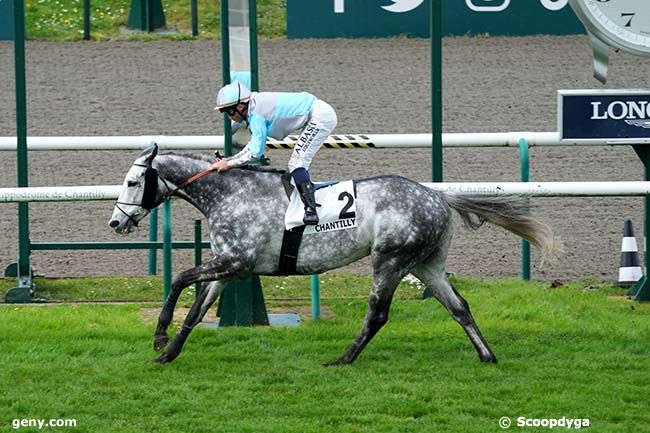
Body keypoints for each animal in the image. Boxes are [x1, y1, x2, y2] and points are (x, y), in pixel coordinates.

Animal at [109, 145, 556, 364]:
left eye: (132, 181)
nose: (115, 223)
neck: (230, 193)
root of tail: (438, 195)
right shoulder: (228, 267)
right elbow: (197, 310)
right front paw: (168, 353)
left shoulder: (236, 262)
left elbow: (180, 278)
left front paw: (159, 336)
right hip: (427, 264)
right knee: (459, 306)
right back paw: (486, 355)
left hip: (390, 260)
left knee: (377, 314)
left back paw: (344, 358)